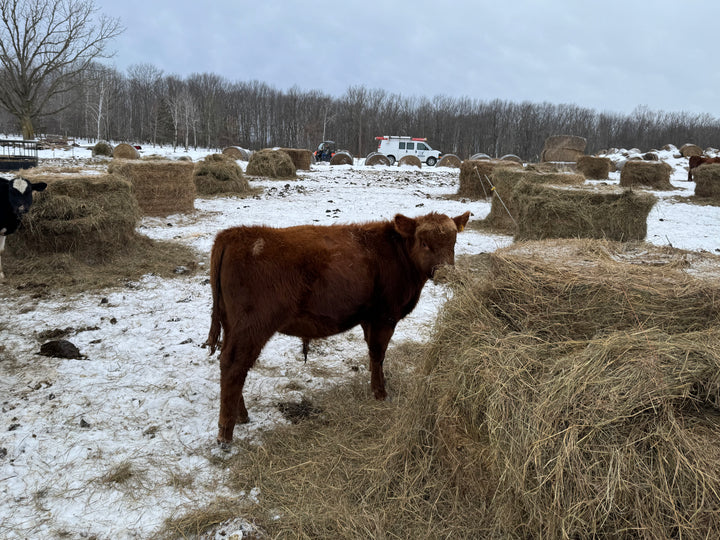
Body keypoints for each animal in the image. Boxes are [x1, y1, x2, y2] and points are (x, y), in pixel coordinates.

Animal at [204, 210, 471, 445]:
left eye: (453, 242)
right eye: (424, 243)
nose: (447, 275)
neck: (396, 254)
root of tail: (234, 234)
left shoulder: (368, 317)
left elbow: (373, 354)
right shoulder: (384, 316)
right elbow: (378, 354)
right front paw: (380, 393)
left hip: (232, 325)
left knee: (229, 363)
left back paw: (240, 415)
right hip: (252, 327)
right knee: (234, 366)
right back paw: (226, 433)